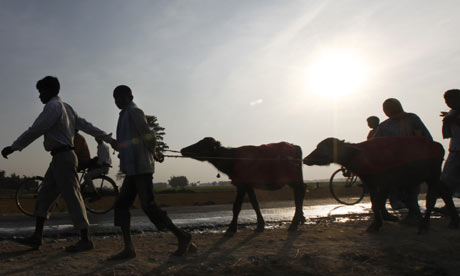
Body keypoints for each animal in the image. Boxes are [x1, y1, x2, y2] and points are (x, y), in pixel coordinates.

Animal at [304, 136, 458, 233]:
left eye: (322, 147)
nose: (305, 159)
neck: (360, 156)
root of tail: (438, 146)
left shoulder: (384, 183)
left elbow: (378, 203)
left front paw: (376, 225)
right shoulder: (371, 183)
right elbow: (375, 202)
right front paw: (376, 223)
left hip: (433, 175)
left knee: (431, 198)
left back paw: (425, 226)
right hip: (432, 177)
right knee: (445, 191)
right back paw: (453, 221)